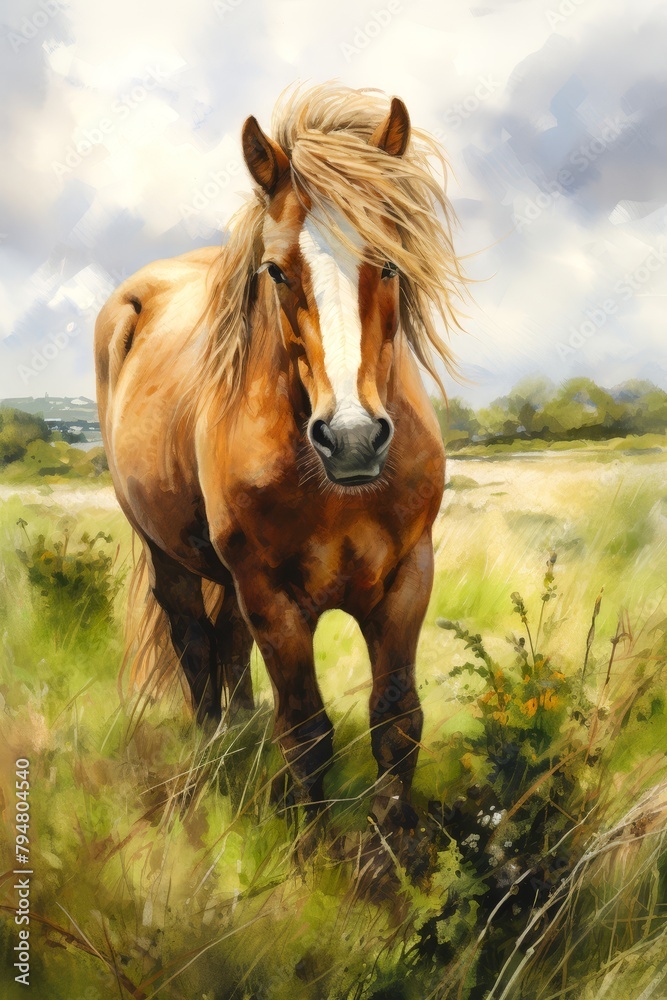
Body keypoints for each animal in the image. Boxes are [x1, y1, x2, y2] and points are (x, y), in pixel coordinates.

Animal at [95, 84, 464, 827]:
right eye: (275, 271)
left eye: (389, 260)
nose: (351, 438)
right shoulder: (274, 598)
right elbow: (307, 734)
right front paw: (311, 846)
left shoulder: (407, 581)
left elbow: (397, 725)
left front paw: (394, 844)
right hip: (167, 552)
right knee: (194, 641)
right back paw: (216, 752)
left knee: (226, 643)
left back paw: (240, 734)